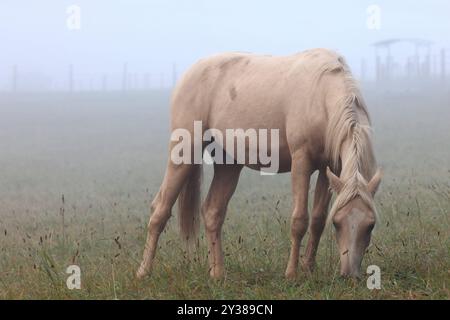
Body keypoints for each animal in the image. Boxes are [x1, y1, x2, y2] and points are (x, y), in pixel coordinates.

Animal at [136, 48, 380, 280]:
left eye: (370, 225)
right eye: (337, 223)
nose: (349, 274)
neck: (321, 94)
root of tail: (189, 73)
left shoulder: (328, 169)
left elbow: (318, 220)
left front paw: (308, 269)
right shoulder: (302, 161)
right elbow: (300, 220)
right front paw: (292, 273)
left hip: (228, 164)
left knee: (213, 211)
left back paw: (218, 273)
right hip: (184, 152)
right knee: (160, 209)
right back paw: (143, 271)